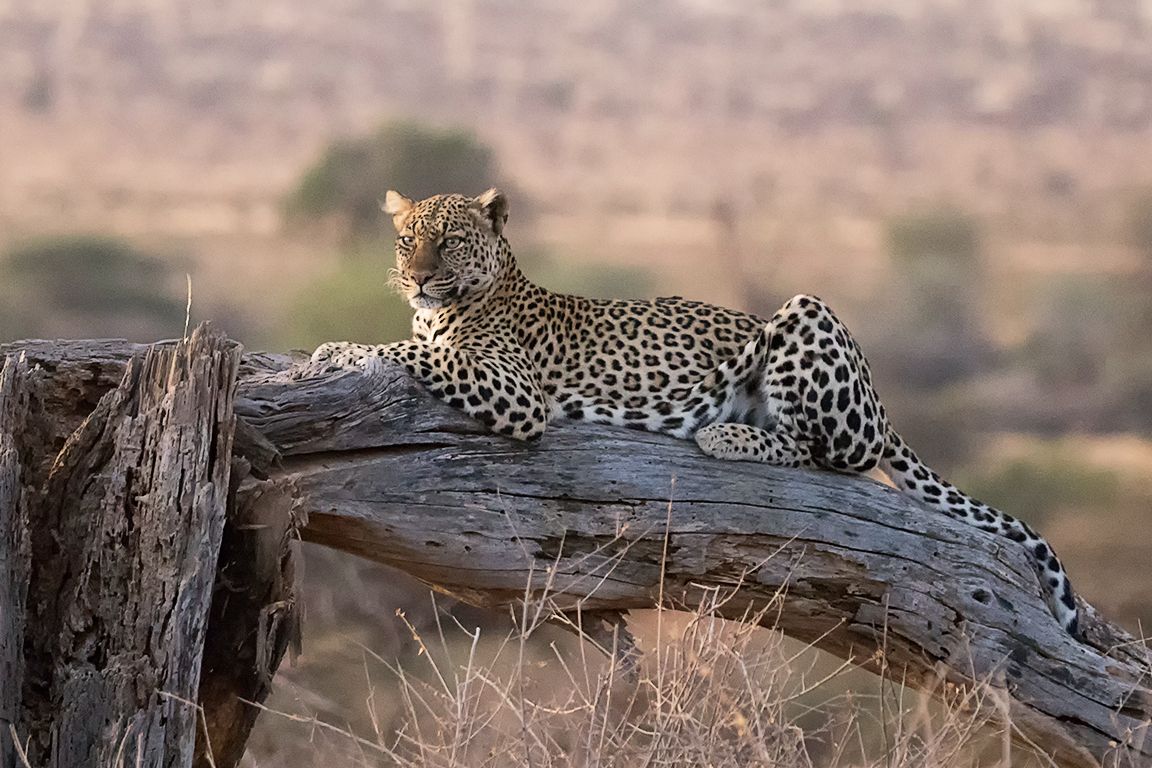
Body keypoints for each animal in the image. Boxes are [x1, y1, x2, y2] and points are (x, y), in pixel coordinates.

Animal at [312, 188, 1082, 639]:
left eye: (449, 239)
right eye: (405, 239)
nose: (417, 277)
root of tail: (882, 410)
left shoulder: (516, 391)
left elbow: (410, 353)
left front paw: (340, 348)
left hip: (804, 314)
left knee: (825, 455)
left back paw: (726, 433)